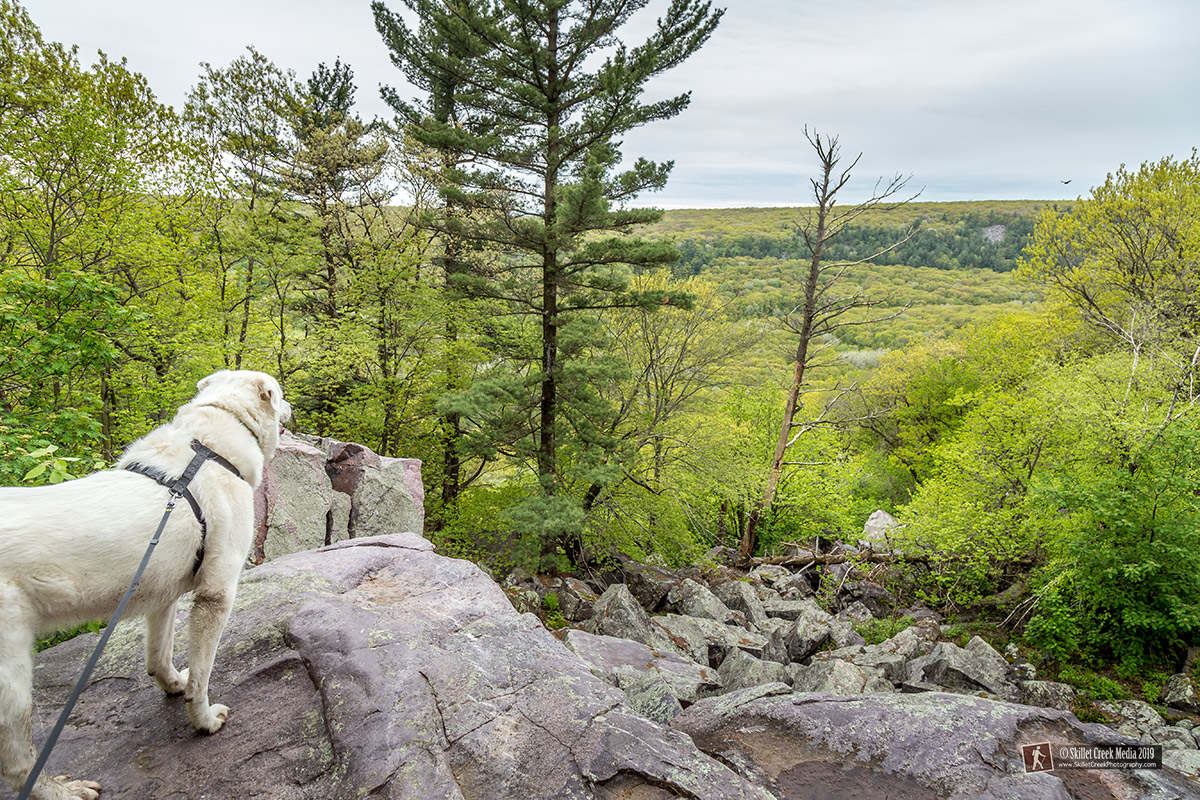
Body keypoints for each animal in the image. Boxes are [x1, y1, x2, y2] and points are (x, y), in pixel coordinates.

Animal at [0, 371, 290, 796]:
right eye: (280, 396)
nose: (293, 407)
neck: (208, 448)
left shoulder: (162, 594)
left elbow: (158, 657)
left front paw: (173, 685)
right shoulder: (216, 594)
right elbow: (202, 676)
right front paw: (204, 720)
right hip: (13, 678)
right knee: (17, 763)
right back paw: (64, 791)